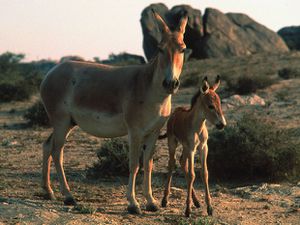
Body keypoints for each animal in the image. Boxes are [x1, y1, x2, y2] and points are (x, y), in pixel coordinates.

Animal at [161, 76, 226, 217]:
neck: (198, 127)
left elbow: (204, 173)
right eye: (210, 106)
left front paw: (209, 207)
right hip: (173, 143)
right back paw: (165, 200)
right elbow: (192, 175)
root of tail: (176, 111)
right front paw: (187, 210)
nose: (222, 125)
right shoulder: (192, 149)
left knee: (182, 162)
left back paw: (196, 201)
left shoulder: (203, 148)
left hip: (185, 148)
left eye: (220, 104)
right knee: (172, 164)